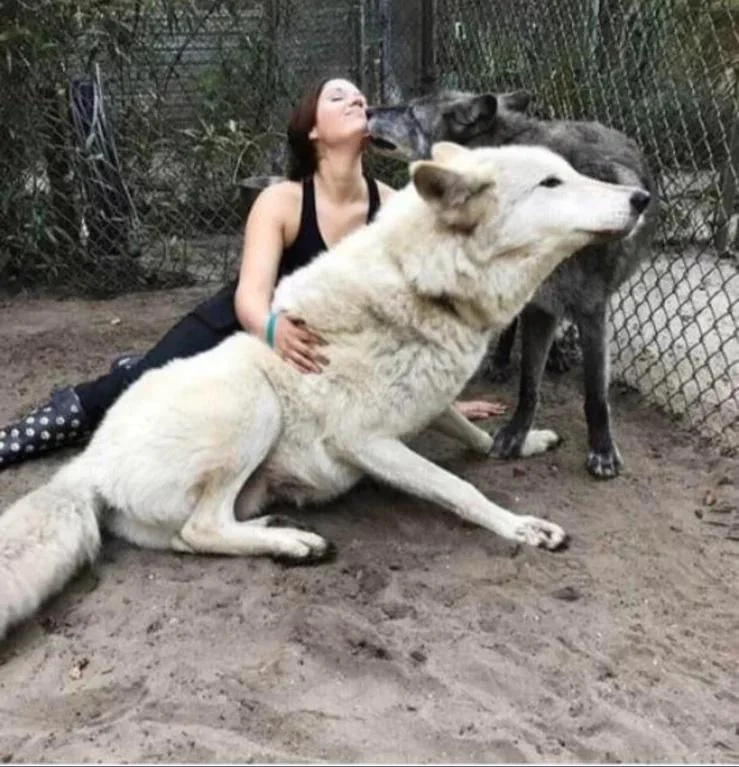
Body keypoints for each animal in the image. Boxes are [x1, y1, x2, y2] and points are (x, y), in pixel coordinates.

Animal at [0, 141, 648, 640]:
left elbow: (475, 436)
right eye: (551, 182)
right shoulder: (364, 441)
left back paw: (274, 532)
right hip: (253, 401)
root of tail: (87, 466)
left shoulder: (428, 399)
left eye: (568, 170)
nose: (642, 199)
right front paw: (523, 528)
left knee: (193, 537)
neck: (429, 284)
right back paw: (297, 544)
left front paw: (522, 441)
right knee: (201, 526)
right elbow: (459, 487)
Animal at [368, 90, 660, 480]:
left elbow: (595, 394)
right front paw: (515, 434)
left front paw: (602, 450)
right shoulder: (538, 306)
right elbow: (528, 386)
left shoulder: (591, 312)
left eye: (411, 111)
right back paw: (503, 360)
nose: (367, 109)